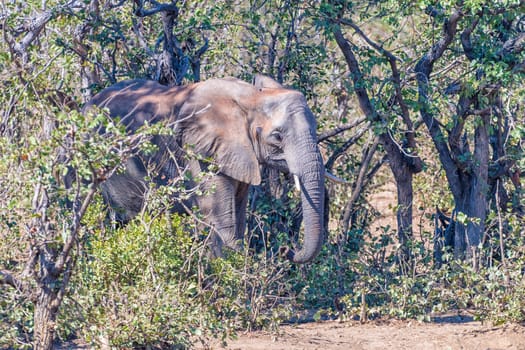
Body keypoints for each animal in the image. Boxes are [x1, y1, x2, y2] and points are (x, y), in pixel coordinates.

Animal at [83, 75, 324, 264]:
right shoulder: (198, 154)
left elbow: (238, 218)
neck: (251, 97)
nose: (285, 250)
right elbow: (223, 224)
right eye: (277, 136)